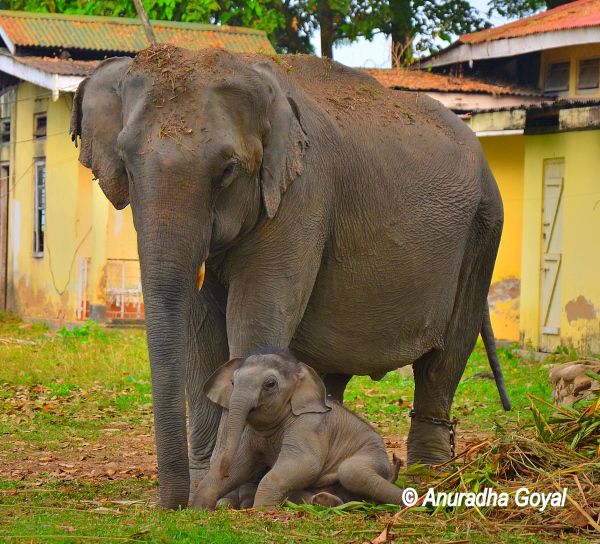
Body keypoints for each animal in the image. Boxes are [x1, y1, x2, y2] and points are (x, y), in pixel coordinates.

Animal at [192, 348, 404, 510]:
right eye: (233, 382)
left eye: (270, 384)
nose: (223, 471)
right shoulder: (251, 435)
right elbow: (241, 465)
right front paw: (198, 509)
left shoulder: (308, 425)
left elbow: (304, 463)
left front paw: (261, 511)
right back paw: (322, 500)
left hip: (374, 457)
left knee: (351, 471)